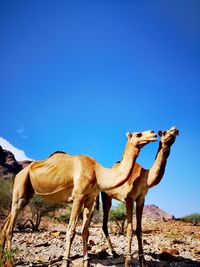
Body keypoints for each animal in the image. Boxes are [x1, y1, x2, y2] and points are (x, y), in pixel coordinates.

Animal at [0, 130, 157, 267]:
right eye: (139, 134)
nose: (153, 133)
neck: (98, 173)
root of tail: (21, 172)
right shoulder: (78, 195)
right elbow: (71, 231)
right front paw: (65, 262)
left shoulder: (89, 198)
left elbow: (85, 231)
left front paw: (86, 261)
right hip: (21, 183)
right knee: (10, 227)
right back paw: (10, 261)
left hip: (28, 193)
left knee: (8, 220)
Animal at [101, 126, 179, 266]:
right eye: (165, 132)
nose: (175, 129)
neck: (144, 178)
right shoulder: (129, 198)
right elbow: (129, 230)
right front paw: (128, 261)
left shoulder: (141, 199)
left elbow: (139, 229)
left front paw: (143, 261)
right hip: (105, 196)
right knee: (103, 222)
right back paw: (114, 253)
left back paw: (114, 252)